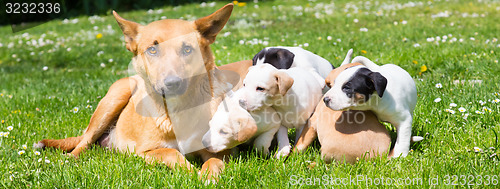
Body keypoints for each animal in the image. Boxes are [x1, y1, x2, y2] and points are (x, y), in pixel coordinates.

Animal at [35, 2, 254, 180]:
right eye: (152, 50)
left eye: (187, 49)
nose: (172, 83)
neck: (177, 112)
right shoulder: (145, 152)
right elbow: (170, 153)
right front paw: (190, 171)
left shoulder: (220, 151)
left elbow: (214, 161)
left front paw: (208, 176)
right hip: (114, 98)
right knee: (83, 143)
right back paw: (68, 160)